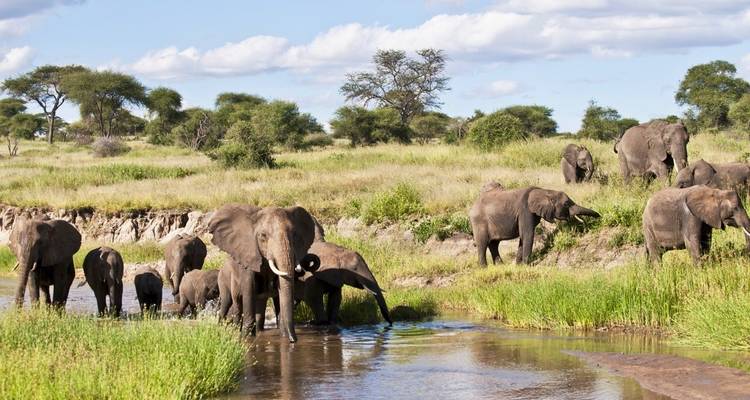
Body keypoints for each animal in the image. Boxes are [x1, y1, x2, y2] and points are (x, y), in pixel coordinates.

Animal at [208, 203, 318, 342]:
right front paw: (246, 337)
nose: (293, 340)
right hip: (223, 279)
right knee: (230, 302)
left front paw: (283, 336)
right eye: (263, 236)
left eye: (294, 234)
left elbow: (280, 291)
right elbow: (249, 288)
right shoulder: (248, 255)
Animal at [469, 183, 600, 265]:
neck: (545, 191)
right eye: (567, 204)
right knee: (483, 244)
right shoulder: (525, 211)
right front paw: (527, 265)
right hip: (479, 222)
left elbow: (523, 237)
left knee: (494, 244)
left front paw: (519, 265)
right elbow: (527, 234)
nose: (600, 217)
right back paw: (484, 268)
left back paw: (500, 266)